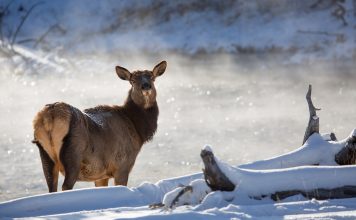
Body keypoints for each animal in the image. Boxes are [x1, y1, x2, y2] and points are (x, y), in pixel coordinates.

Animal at [31, 61, 167, 192]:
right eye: (132, 80)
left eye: (152, 77)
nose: (146, 86)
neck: (137, 130)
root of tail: (49, 117)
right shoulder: (122, 165)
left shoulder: (101, 175)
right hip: (73, 154)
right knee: (66, 186)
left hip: (45, 154)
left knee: (51, 187)